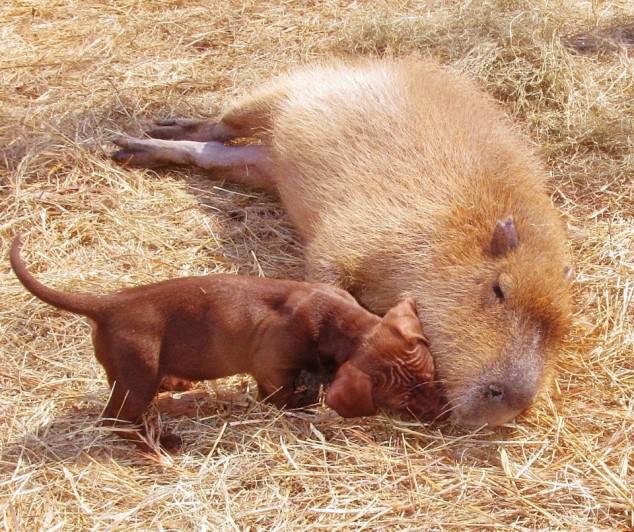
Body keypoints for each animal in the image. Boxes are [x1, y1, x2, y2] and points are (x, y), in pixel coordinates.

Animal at [11, 237, 440, 454]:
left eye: (432, 376)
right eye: (402, 401)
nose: (443, 414)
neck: (337, 321)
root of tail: (108, 304)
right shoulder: (272, 368)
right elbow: (282, 397)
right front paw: (304, 400)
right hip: (137, 375)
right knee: (114, 420)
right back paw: (159, 443)